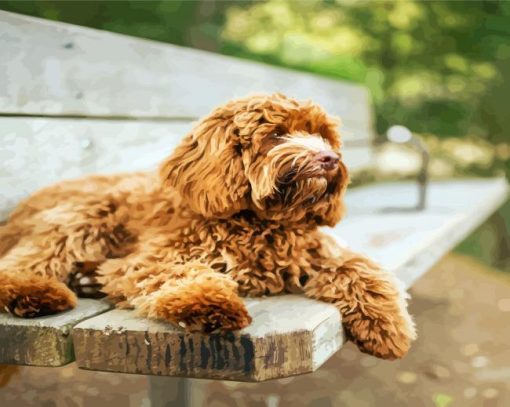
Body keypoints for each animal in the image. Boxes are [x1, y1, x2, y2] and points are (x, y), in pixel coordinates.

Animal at [0, 95, 414, 360]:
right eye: (277, 134)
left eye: (324, 135)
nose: (330, 158)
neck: (260, 221)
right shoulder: (155, 257)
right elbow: (181, 275)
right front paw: (210, 304)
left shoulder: (318, 253)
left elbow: (362, 271)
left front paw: (388, 325)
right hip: (86, 211)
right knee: (24, 261)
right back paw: (35, 292)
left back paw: (85, 279)